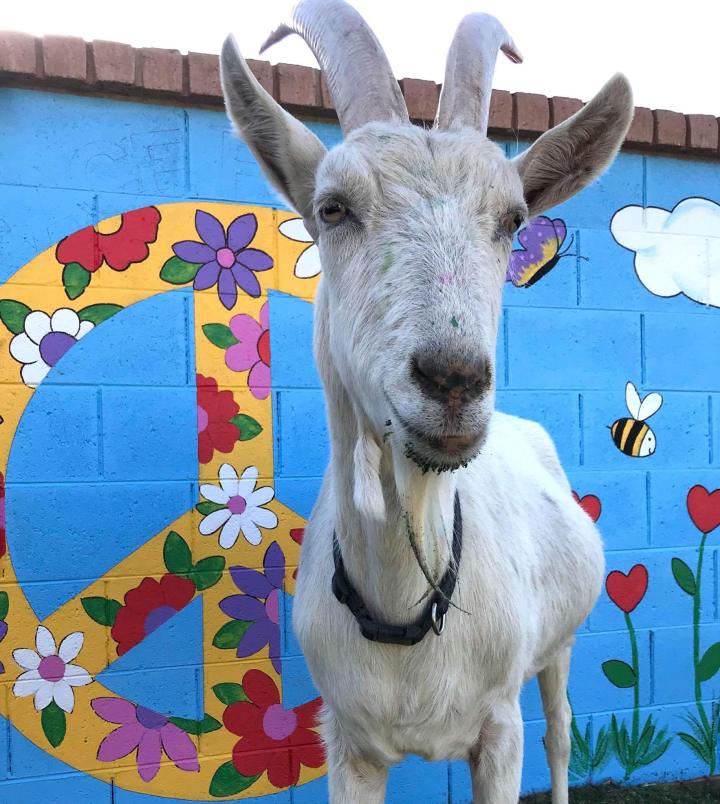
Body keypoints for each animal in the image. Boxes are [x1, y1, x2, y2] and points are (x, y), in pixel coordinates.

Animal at [218, 3, 632, 800]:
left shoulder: (500, 730)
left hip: (560, 647)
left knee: (563, 734)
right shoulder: (347, 744)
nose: (454, 379)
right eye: (332, 208)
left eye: (512, 220)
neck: (407, 601)